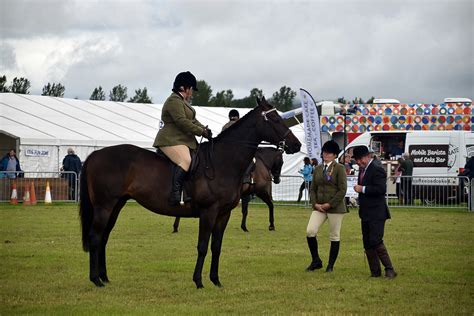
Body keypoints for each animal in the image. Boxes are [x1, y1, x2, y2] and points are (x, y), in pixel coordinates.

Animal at [78, 97, 300, 288]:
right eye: (275, 119)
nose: (296, 144)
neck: (222, 161)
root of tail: (95, 154)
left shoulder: (223, 214)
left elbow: (216, 246)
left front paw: (215, 280)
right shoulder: (209, 212)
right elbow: (202, 246)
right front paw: (198, 281)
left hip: (116, 205)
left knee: (104, 237)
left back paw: (104, 277)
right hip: (104, 206)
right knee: (95, 237)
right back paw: (95, 280)